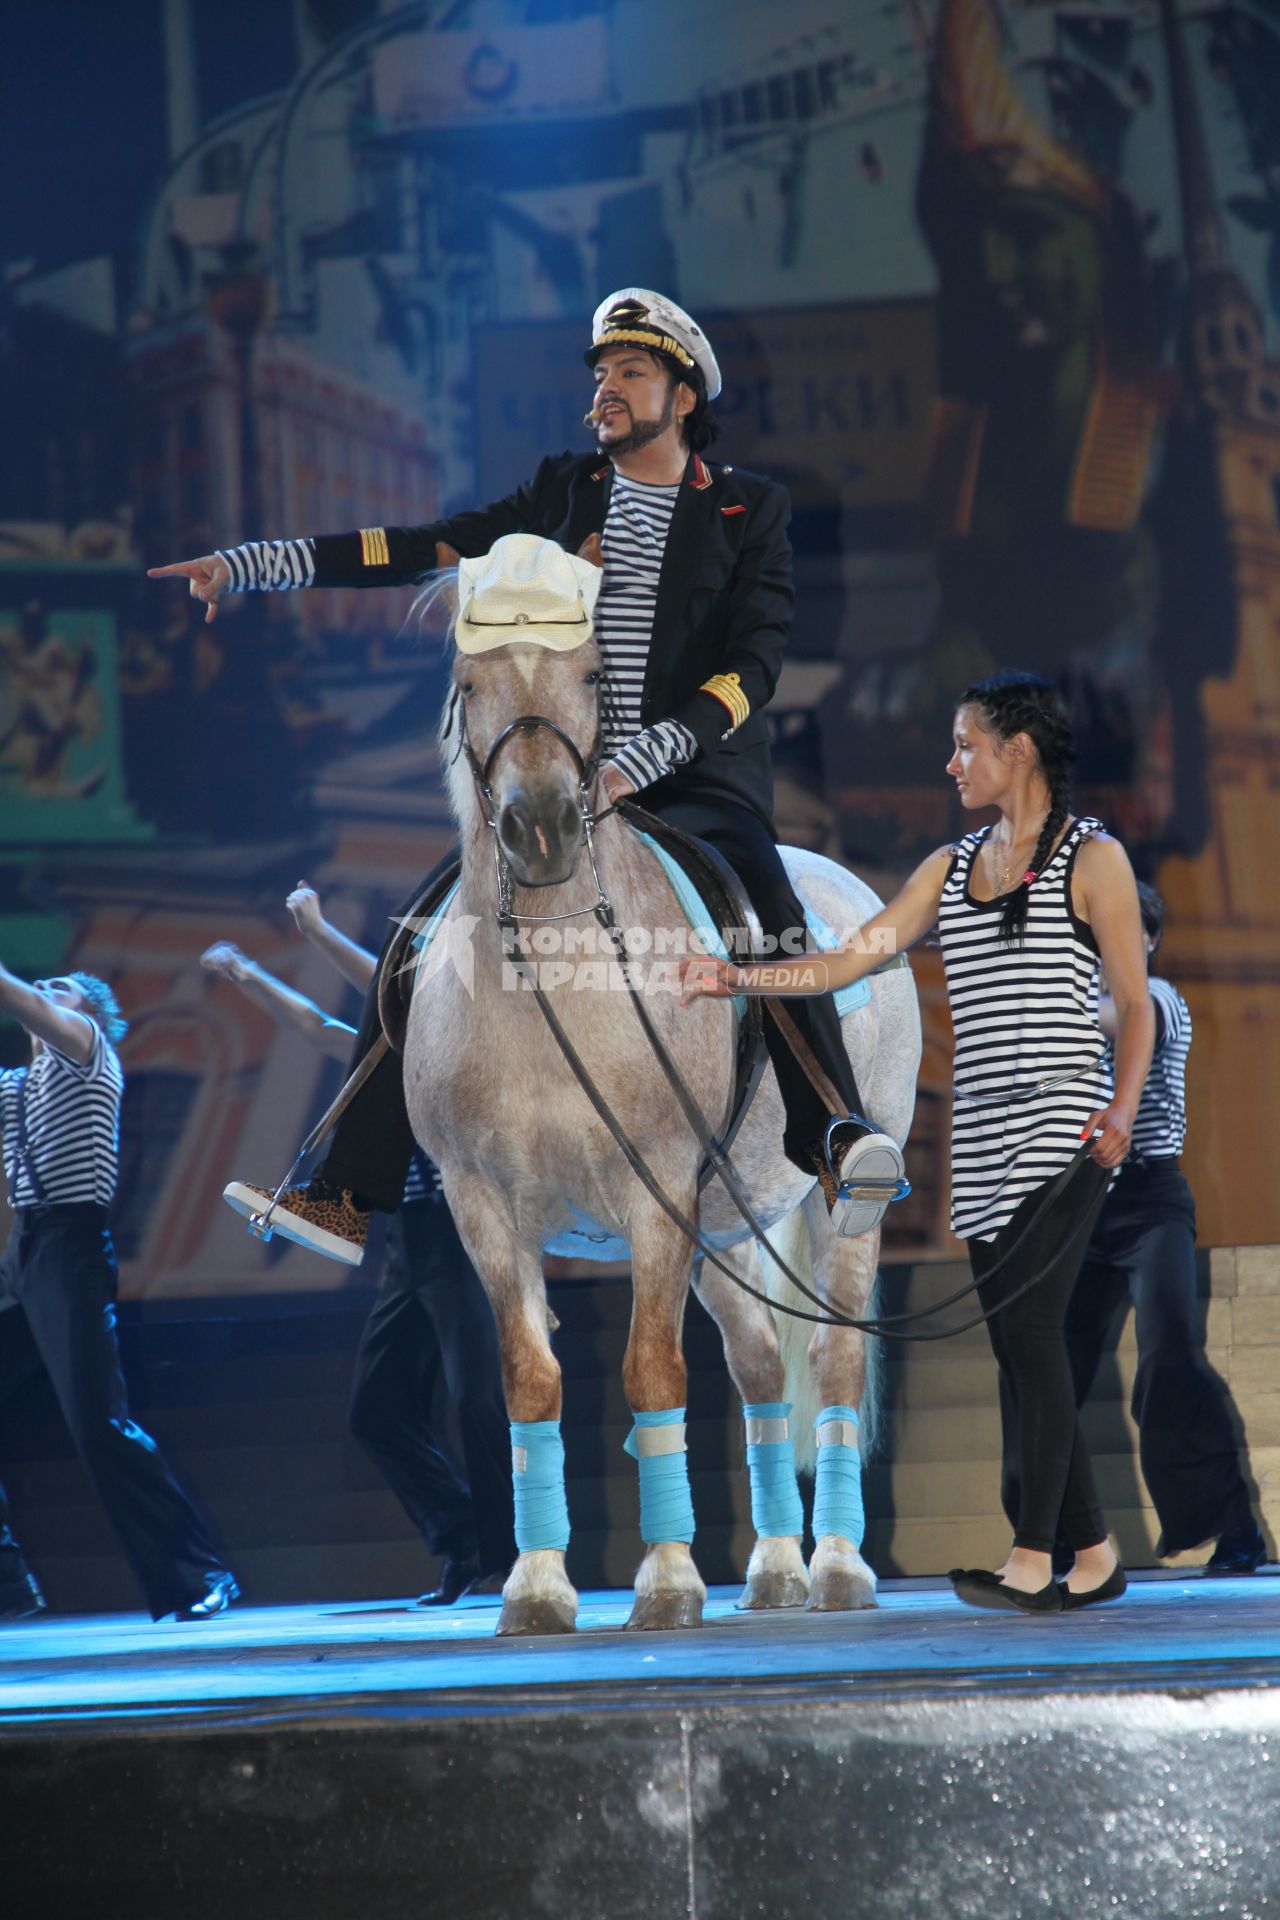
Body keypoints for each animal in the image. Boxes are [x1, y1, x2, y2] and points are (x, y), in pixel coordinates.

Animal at [404, 583, 917, 1635]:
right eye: (468, 681)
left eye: (595, 672)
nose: (543, 826)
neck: (554, 980)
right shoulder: (482, 1206)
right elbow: (530, 1381)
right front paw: (536, 1588)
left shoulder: (657, 1195)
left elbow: (652, 1370)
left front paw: (670, 1582)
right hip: (726, 1227)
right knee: (760, 1369)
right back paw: (775, 1569)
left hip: (838, 1210)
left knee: (836, 1364)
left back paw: (839, 1567)